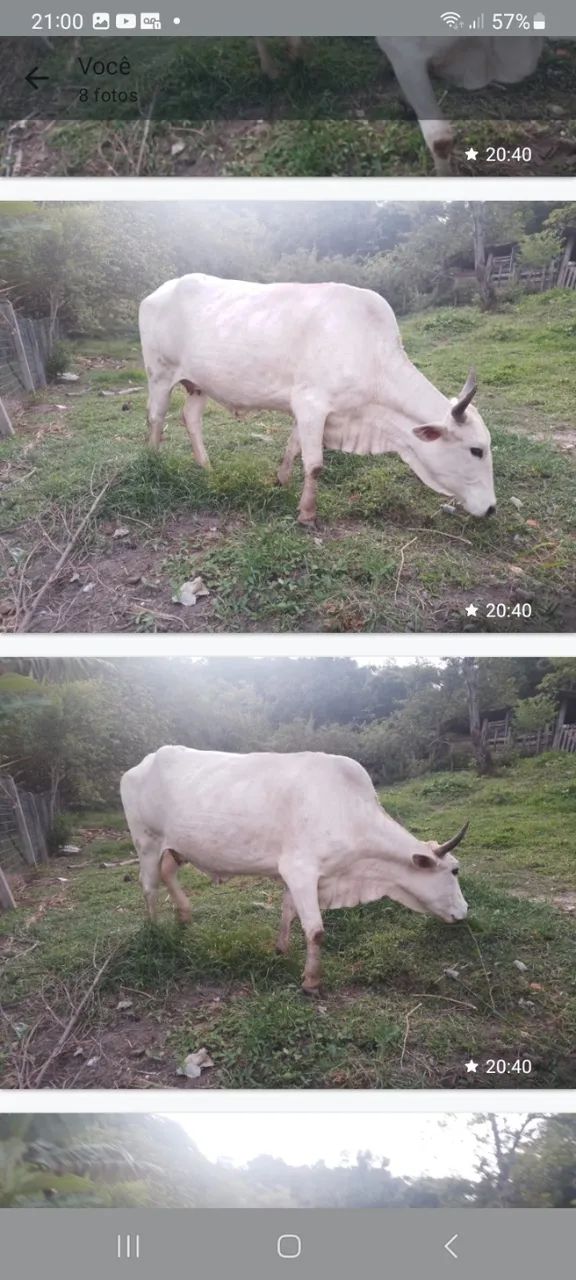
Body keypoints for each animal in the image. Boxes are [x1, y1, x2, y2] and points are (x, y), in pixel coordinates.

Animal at [120, 745, 469, 993]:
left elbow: (288, 912)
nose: (464, 913)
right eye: (454, 871)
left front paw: (281, 949)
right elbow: (316, 931)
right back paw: (155, 929)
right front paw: (311, 982)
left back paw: (184, 916)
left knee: (167, 873)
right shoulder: (301, 871)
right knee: (149, 885)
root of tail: (142, 763)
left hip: (175, 846)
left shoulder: (293, 875)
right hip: (146, 842)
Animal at [139, 274, 496, 526]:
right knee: (156, 417)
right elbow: (314, 465)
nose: (492, 508)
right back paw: (154, 462)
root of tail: (157, 292)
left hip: (197, 384)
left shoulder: (308, 410)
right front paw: (307, 514)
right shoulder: (312, 405)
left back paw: (206, 466)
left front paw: (281, 480)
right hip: (160, 375)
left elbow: (293, 447)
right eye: (476, 450)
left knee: (190, 418)